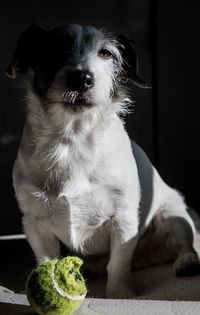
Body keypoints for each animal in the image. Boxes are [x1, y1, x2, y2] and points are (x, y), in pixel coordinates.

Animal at [5, 24, 200, 298]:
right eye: (54, 47)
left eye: (106, 53)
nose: (81, 78)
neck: (73, 140)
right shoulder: (35, 223)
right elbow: (46, 259)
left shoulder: (123, 219)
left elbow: (117, 263)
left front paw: (120, 294)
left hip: (174, 217)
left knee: (185, 245)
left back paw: (187, 262)